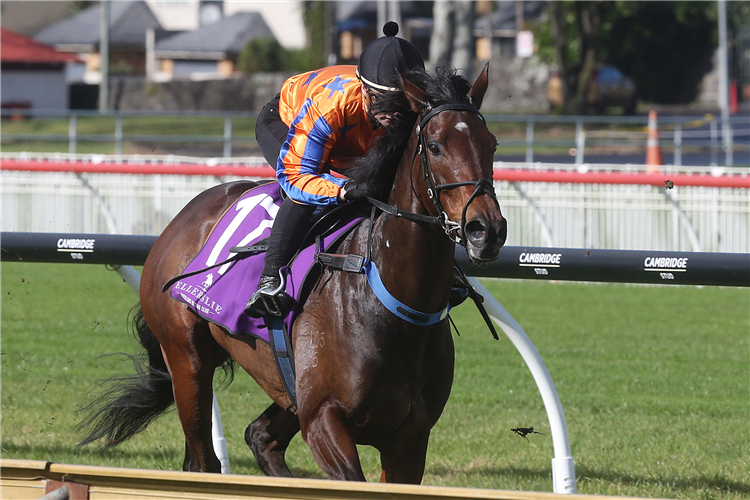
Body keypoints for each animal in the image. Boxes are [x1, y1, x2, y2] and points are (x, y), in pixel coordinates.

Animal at [79, 64, 508, 482]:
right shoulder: (323, 419)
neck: (391, 304)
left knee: (260, 437)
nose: (486, 230)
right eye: (434, 146)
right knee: (203, 461)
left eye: (492, 144)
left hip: (287, 388)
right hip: (186, 360)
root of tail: (183, 217)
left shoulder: (409, 439)